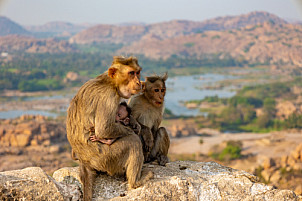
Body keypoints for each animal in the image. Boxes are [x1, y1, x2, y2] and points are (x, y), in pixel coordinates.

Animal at [68, 56, 153, 201]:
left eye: (137, 72)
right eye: (131, 73)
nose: (139, 82)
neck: (110, 83)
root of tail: (84, 162)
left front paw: (136, 124)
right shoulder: (108, 97)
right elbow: (104, 129)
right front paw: (132, 129)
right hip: (106, 159)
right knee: (133, 142)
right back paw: (136, 182)